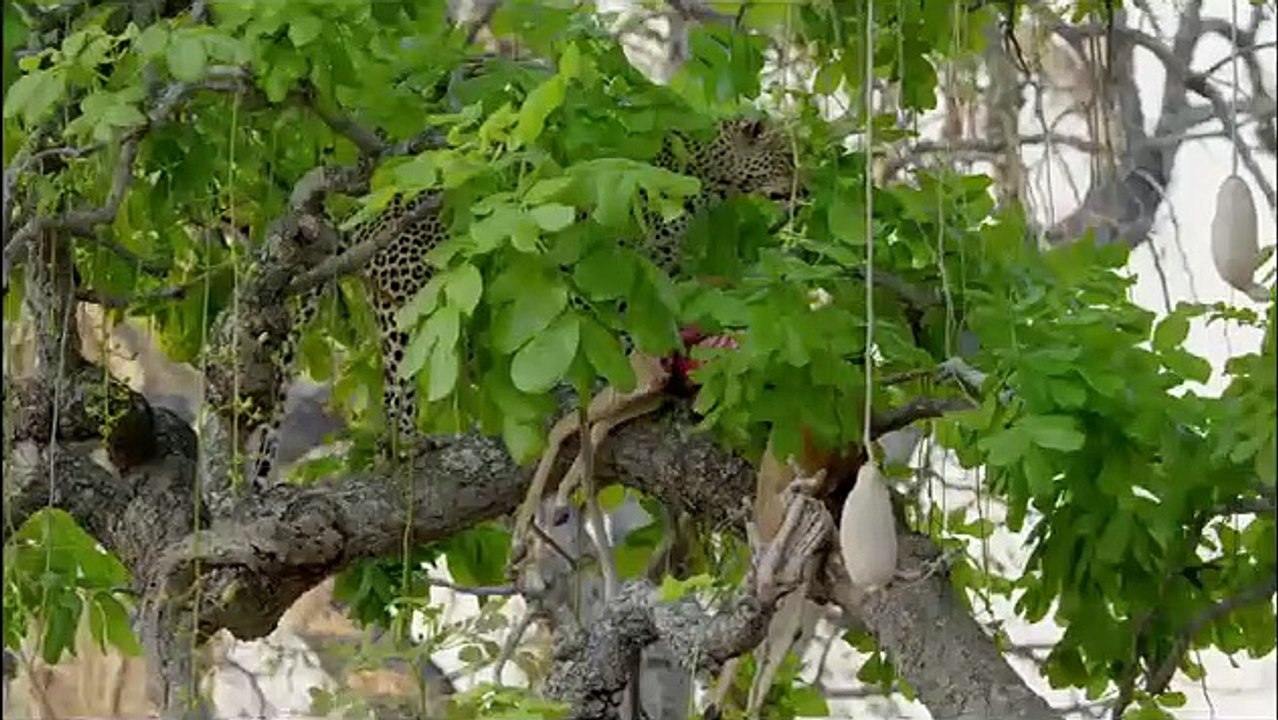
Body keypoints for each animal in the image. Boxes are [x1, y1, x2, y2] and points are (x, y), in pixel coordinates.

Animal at [245, 116, 798, 490]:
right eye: (787, 159)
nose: (804, 188)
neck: (708, 179)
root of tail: (363, 221)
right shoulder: (624, 259)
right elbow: (621, 321)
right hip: (411, 296)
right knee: (397, 383)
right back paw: (408, 442)